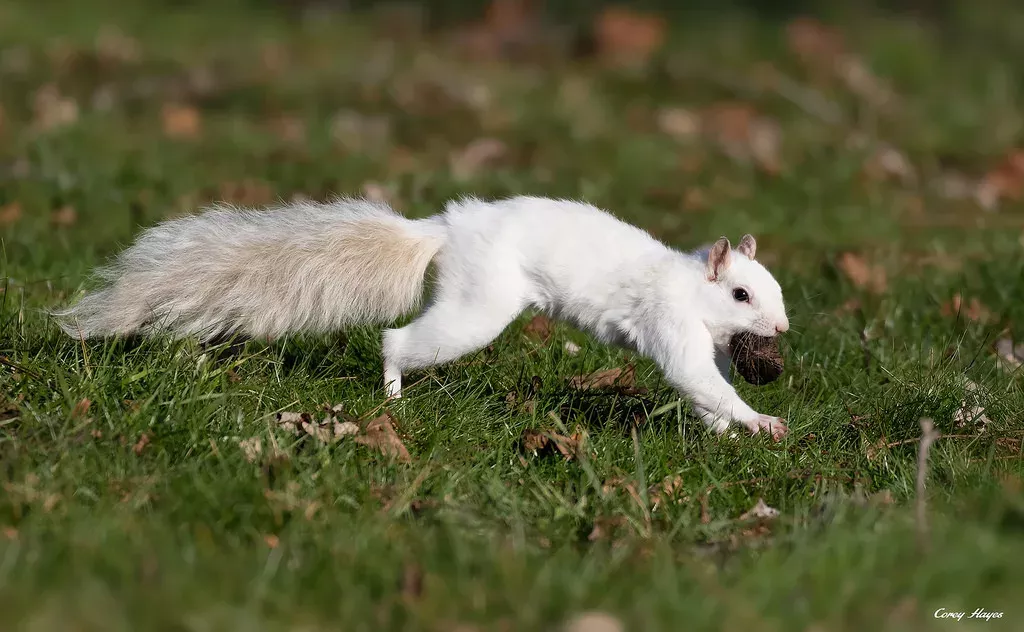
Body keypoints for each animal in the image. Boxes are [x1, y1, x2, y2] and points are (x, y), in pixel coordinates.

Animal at [53, 195, 790, 440]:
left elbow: (705, 391)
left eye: (775, 289)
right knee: (397, 341)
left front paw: (726, 434)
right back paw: (392, 393)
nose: (782, 332)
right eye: (742, 295)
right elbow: (696, 378)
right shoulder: (671, 324)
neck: (690, 289)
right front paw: (763, 424)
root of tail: (444, 230)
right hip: (478, 308)